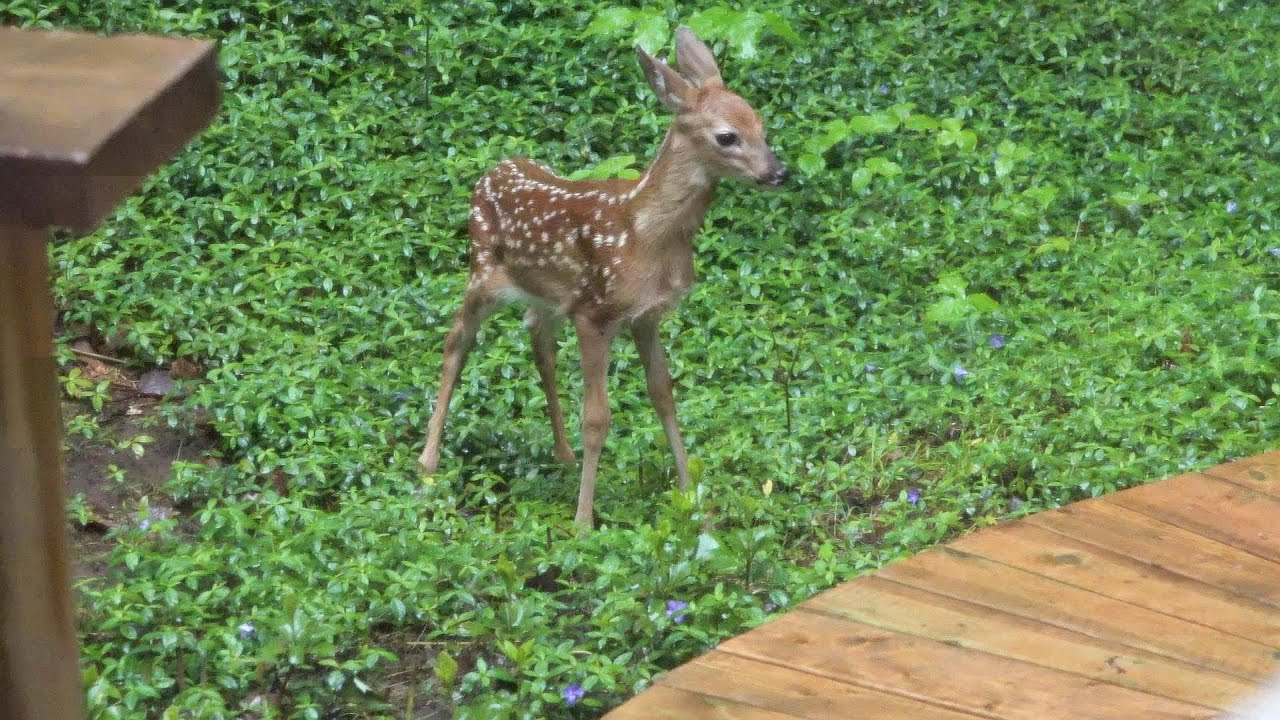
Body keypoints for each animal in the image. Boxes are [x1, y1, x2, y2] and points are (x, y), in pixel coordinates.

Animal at [417, 26, 787, 528]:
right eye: (727, 136)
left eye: (761, 126)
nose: (778, 172)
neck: (646, 234)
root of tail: (494, 170)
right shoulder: (595, 312)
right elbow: (597, 418)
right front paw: (583, 522)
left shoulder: (646, 316)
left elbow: (663, 396)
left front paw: (691, 498)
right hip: (482, 271)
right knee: (456, 340)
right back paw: (428, 461)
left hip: (548, 296)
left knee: (539, 343)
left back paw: (563, 455)